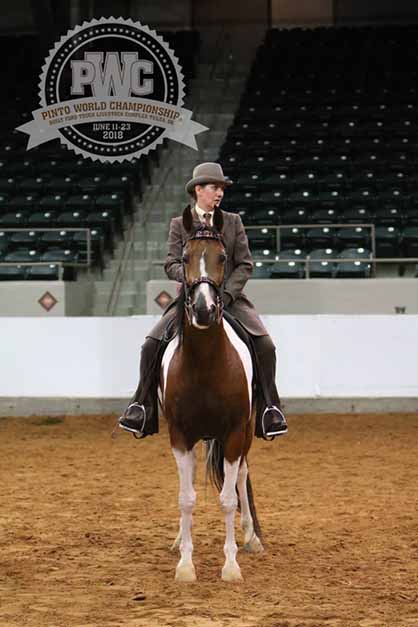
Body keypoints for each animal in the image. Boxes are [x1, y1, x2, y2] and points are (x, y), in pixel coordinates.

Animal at [160, 217, 263, 583]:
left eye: (221, 257)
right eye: (184, 257)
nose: (204, 310)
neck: (205, 362)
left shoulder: (233, 434)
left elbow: (228, 500)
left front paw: (230, 566)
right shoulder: (179, 436)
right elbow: (186, 498)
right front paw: (185, 565)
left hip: (246, 434)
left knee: (243, 475)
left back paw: (251, 537)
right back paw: (179, 539)